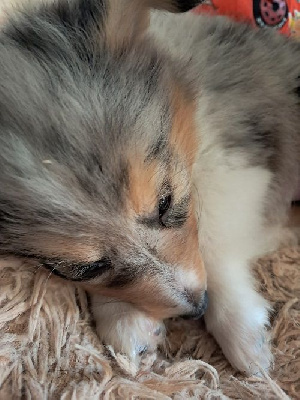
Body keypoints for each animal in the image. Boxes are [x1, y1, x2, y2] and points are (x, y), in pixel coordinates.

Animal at [0, 0, 300, 376]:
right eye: (88, 269)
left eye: (165, 202)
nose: (197, 308)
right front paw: (125, 319)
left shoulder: (232, 156)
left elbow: (213, 234)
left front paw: (243, 331)